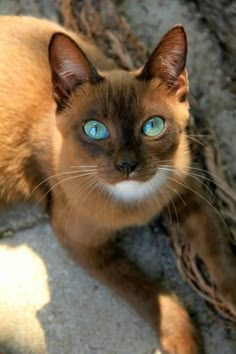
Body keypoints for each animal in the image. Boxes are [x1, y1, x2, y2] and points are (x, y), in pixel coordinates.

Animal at [0, 15, 236, 354]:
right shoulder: (83, 244)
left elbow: (221, 256)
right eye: (95, 130)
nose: (127, 165)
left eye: (153, 126)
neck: (136, 203)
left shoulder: (192, 195)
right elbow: (145, 290)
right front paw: (185, 341)